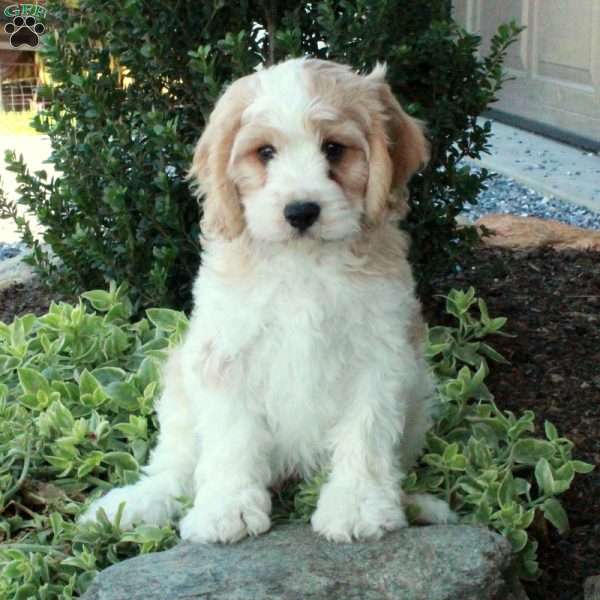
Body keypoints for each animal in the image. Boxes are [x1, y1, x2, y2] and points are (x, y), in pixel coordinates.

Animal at [81, 57, 454, 544]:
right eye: (265, 153)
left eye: (334, 149)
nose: (301, 211)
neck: (303, 262)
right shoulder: (226, 353)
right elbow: (231, 438)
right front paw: (227, 508)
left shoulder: (381, 356)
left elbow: (367, 434)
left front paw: (358, 505)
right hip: (180, 383)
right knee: (175, 465)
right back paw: (137, 504)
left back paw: (420, 505)